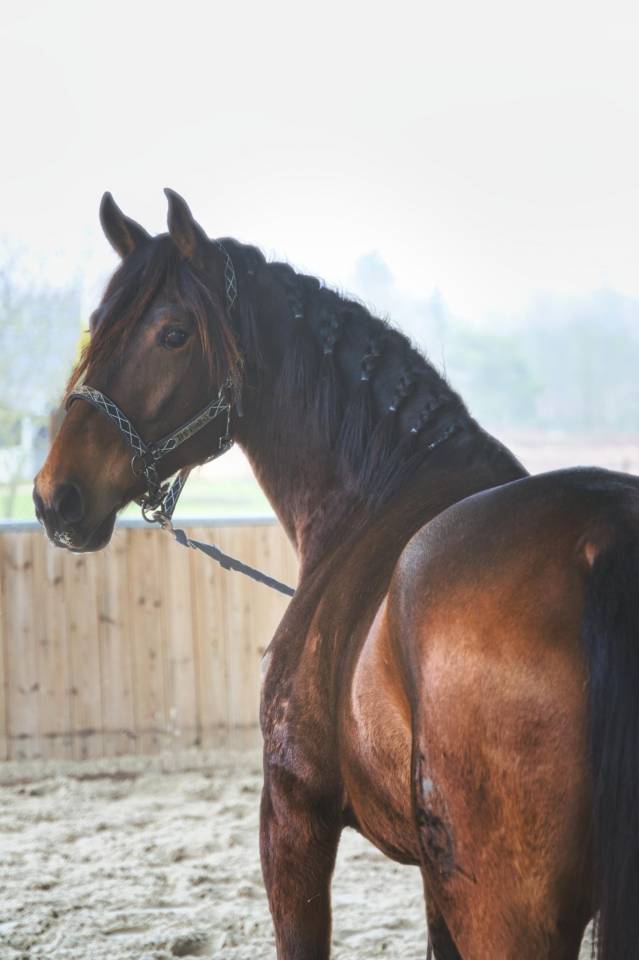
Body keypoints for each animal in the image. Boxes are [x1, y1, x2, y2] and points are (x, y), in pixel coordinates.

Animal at [33, 189, 639, 959]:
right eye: (97, 325)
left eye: (172, 334)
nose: (55, 497)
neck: (377, 495)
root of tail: (599, 539)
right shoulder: (434, 878)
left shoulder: (293, 817)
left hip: (505, 913)